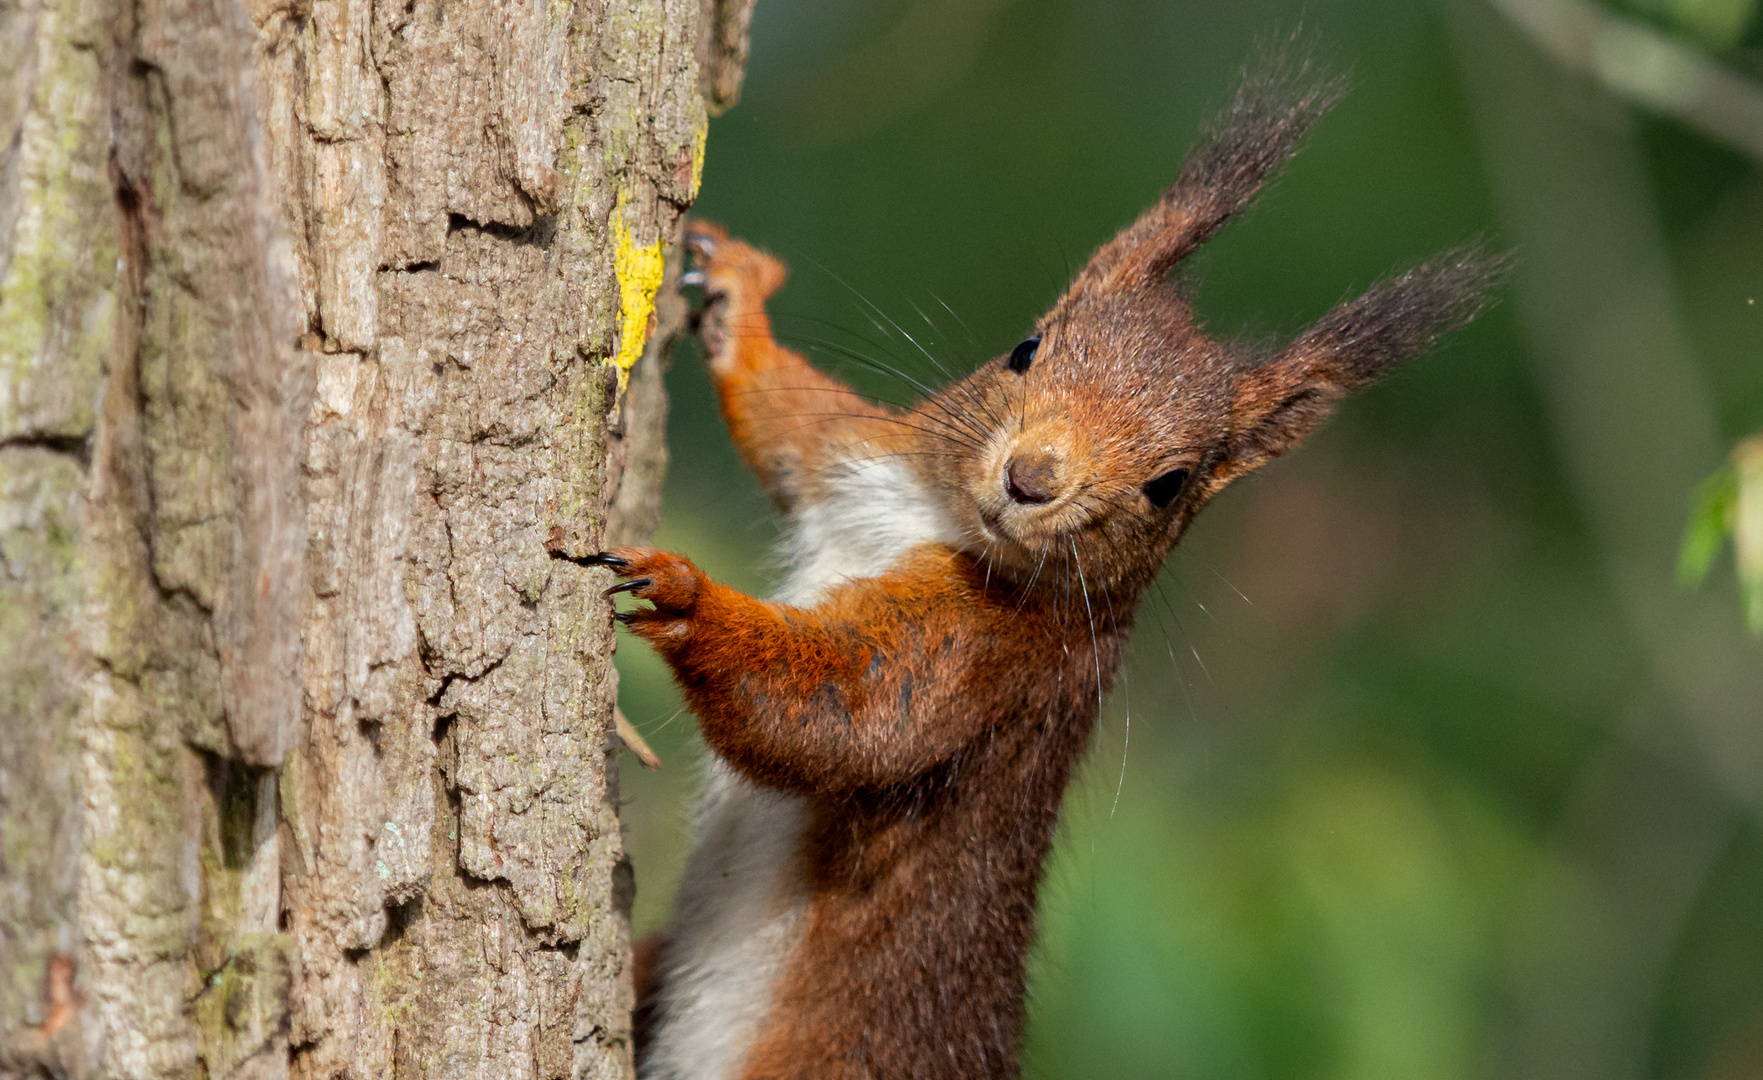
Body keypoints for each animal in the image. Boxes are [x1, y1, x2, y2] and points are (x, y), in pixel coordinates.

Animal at [595, 52, 1502, 1080]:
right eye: (1025, 348)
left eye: (1169, 486)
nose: (1029, 479)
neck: (932, 520)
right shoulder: (859, 458)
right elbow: (785, 421)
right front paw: (737, 296)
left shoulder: (988, 661)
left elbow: (836, 712)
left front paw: (684, 594)